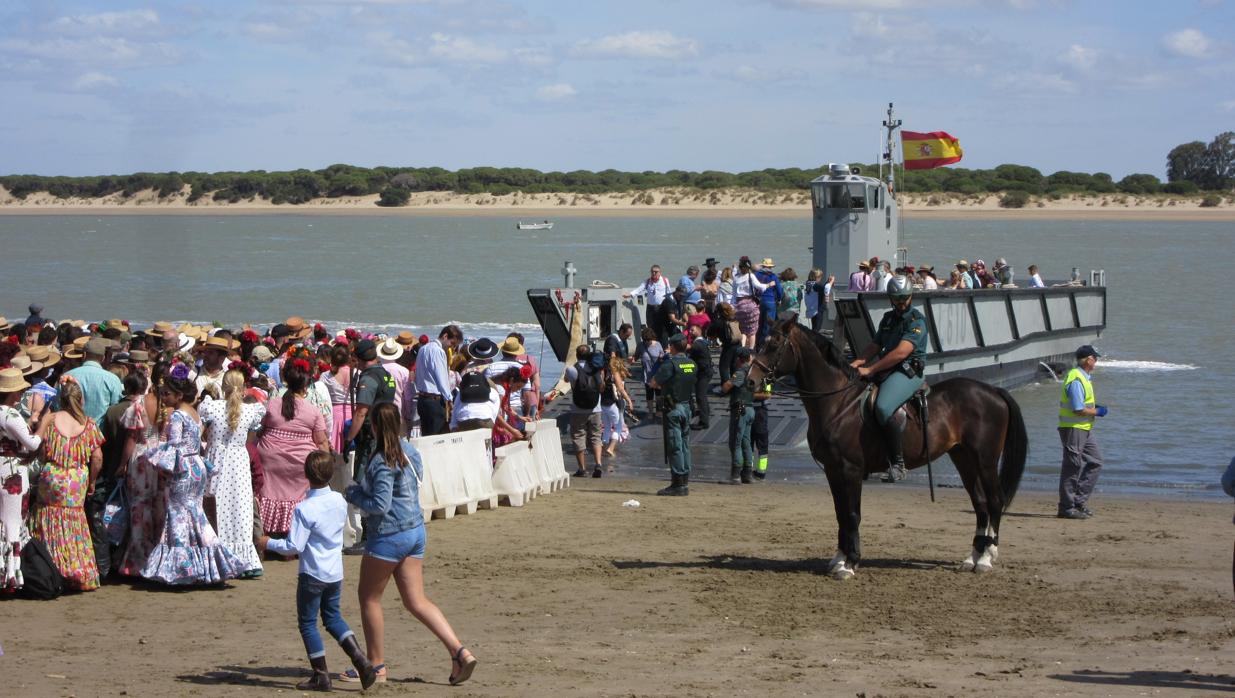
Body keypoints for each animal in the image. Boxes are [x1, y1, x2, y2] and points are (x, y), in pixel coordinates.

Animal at [745, 316, 1027, 578]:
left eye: (774, 344)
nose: (750, 381)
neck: (838, 401)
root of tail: (993, 391)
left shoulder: (850, 470)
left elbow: (852, 514)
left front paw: (850, 564)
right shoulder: (833, 470)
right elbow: (840, 513)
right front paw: (839, 558)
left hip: (985, 459)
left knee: (994, 501)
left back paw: (986, 558)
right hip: (964, 458)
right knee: (980, 503)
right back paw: (972, 557)